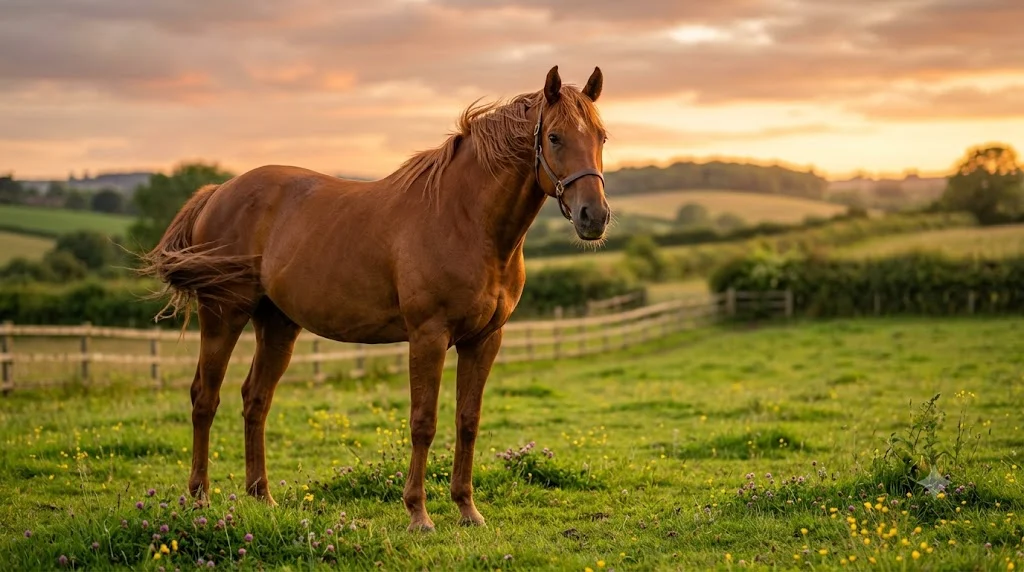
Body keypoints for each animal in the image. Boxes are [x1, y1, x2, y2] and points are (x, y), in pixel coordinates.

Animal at [139, 65, 610, 532]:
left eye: (601, 137)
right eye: (555, 137)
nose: (595, 216)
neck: (464, 219)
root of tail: (218, 192)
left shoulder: (484, 340)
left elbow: (468, 421)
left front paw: (467, 509)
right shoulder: (428, 337)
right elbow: (423, 422)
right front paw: (418, 514)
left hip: (277, 325)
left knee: (255, 399)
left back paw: (262, 497)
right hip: (223, 315)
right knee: (205, 398)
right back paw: (199, 498)